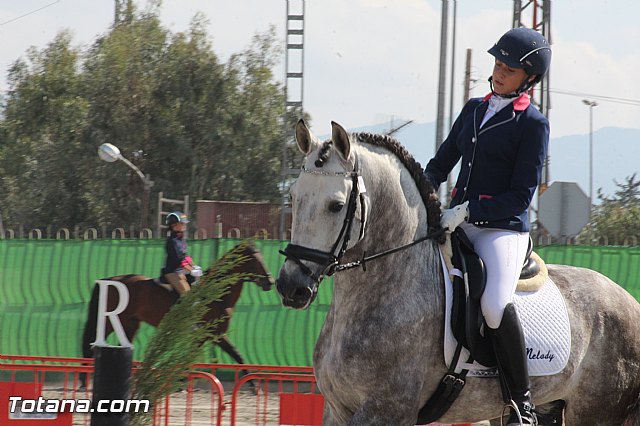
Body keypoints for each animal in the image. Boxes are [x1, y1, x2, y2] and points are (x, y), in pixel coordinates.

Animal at [80, 243, 272, 386]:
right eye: (254, 260)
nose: (269, 282)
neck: (218, 294)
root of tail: (110, 279)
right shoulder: (208, 334)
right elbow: (193, 358)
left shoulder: (214, 335)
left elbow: (235, 354)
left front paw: (252, 384)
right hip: (111, 322)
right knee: (92, 343)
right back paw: (84, 379)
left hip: (130, 324)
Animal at [276, 120, 640, 426]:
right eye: (293, 197)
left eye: (336, 205)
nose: (290, 286)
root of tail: (629, 301)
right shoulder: (337, 408)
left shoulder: (385, 410)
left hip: (595, 410)